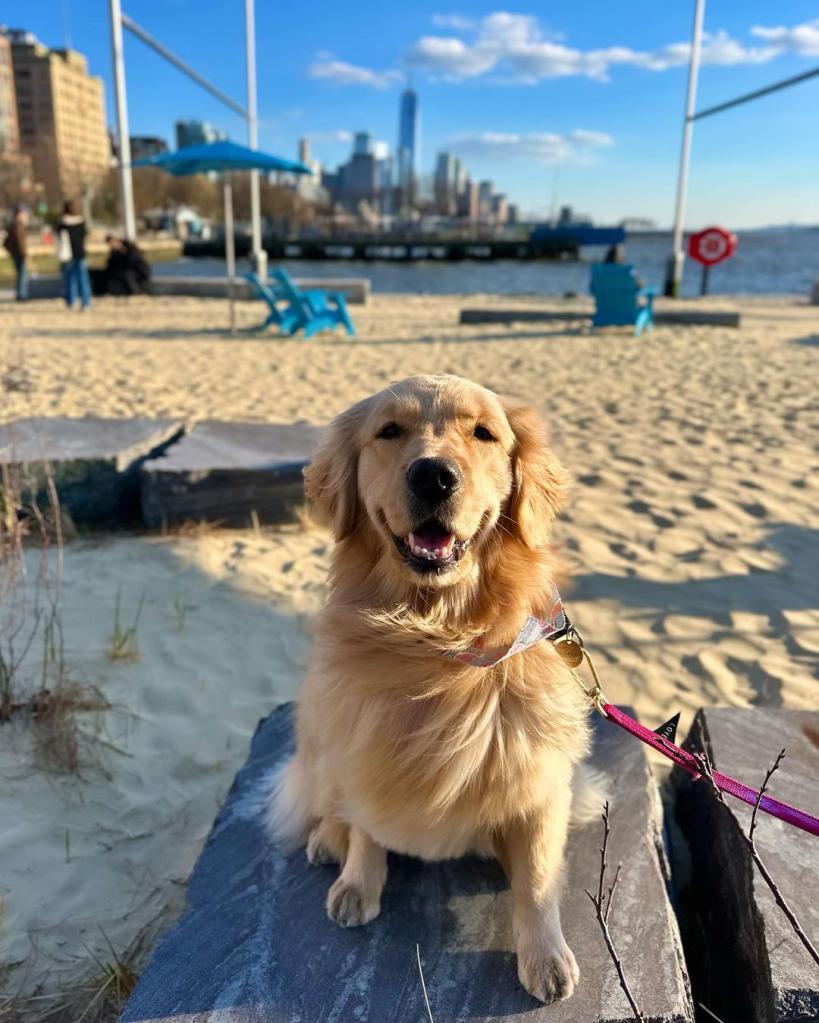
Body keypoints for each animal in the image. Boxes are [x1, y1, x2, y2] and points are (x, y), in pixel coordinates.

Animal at [271, 374, 593, 998]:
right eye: (389, 431)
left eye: (484, 433)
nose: (433, 476)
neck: (436, 642)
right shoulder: (360, 748)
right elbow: (366, 828)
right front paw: (359, 883)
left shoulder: (541, 775)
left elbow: (538, 875)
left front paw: (544, 955)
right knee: (329, 805)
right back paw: (327, 839)